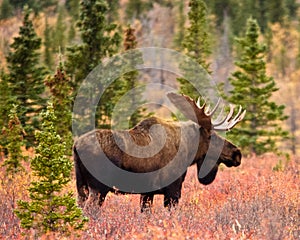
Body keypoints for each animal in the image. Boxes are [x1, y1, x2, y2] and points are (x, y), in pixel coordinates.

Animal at [73, 92, 246, 212]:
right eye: (212, 136)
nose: (237, 153)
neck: (189, 152)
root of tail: (75, 145)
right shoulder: (173, 190)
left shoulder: (147, 193)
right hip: (98, 188)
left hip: (81, 187)